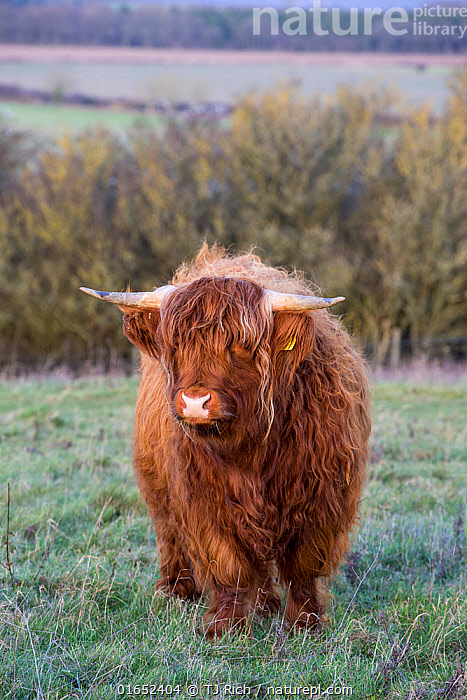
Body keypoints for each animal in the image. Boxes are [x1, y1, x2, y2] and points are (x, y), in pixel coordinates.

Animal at [82, 246, 372, 640]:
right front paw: (224, 626)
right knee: (169, 533)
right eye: (176, 345)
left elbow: (304, 566)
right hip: (157, 484)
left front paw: (304, 623)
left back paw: (266, 604)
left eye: (240, 346)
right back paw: (177, 590)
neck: (250, 451)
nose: (194, 401)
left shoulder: (323, 497)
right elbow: (228, 564)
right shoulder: (203, 498)